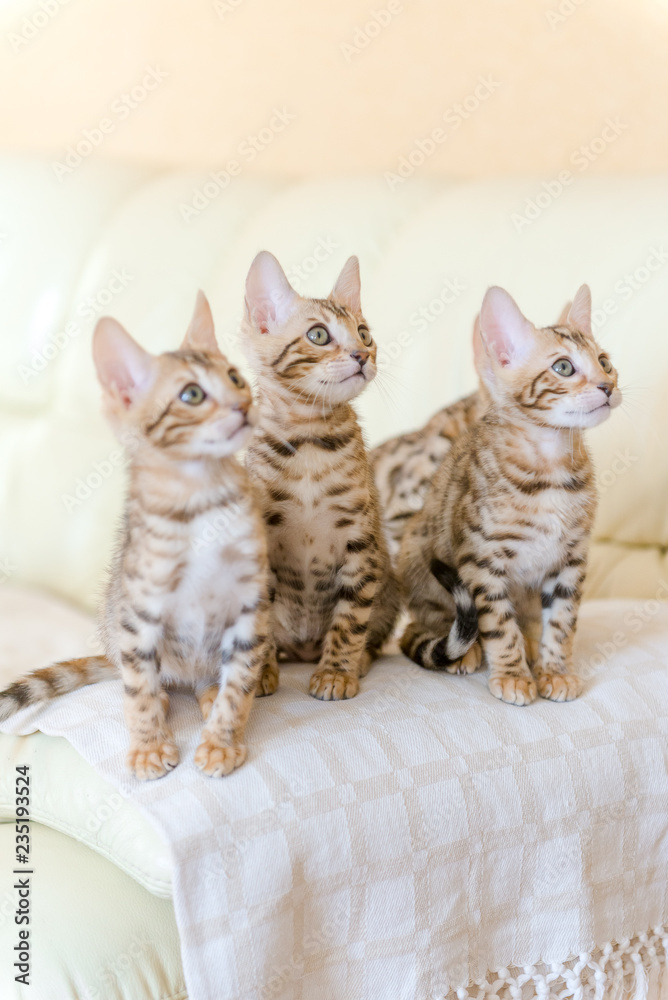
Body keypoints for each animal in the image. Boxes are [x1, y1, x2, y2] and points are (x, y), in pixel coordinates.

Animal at [0, 294, 274, 780]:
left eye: (236, 378)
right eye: (191, 395)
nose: (243, 406)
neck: (201, 499)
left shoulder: (250, 603)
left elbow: (240, 682)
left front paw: (222, 741)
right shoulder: (140, 608)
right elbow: (138, 691)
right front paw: (147, 746)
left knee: (207, 679)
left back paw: (208, 695)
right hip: (120, 630)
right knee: (143, 678)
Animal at [240, 252, 400, 704]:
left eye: (364, 333)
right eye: (318, 335)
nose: (362, 355)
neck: (310, 440)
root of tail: (304, 648)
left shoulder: (361, 542)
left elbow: (350, 619)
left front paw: (336, 673)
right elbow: (257, 623)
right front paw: (260, 674)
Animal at [396, 284, 620, 704]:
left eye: (605, 362)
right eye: (563, 367)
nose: (608, 386)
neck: (551, 471)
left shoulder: (570, 559)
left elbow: (562, 621)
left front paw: (554, 670)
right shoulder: (482, 560)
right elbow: (499, 624)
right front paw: (513, 675)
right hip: (420, 558)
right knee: (426, 627)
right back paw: (468, 652)